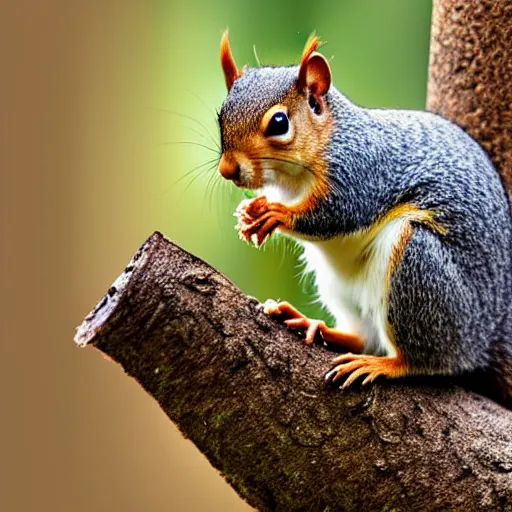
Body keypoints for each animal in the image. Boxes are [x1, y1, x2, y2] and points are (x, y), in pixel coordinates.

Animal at [215, 32, 512, 408]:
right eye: (220, 117)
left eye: (279, 124)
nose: (227, 170)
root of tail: (483, 337)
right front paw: (249, 214)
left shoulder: (362, 172)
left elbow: (336, 213)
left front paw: (275, 213)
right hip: (339, 287)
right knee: (363, 336)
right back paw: (313, 324)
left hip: (420, 270)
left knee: (426, 360)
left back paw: (384, 364)